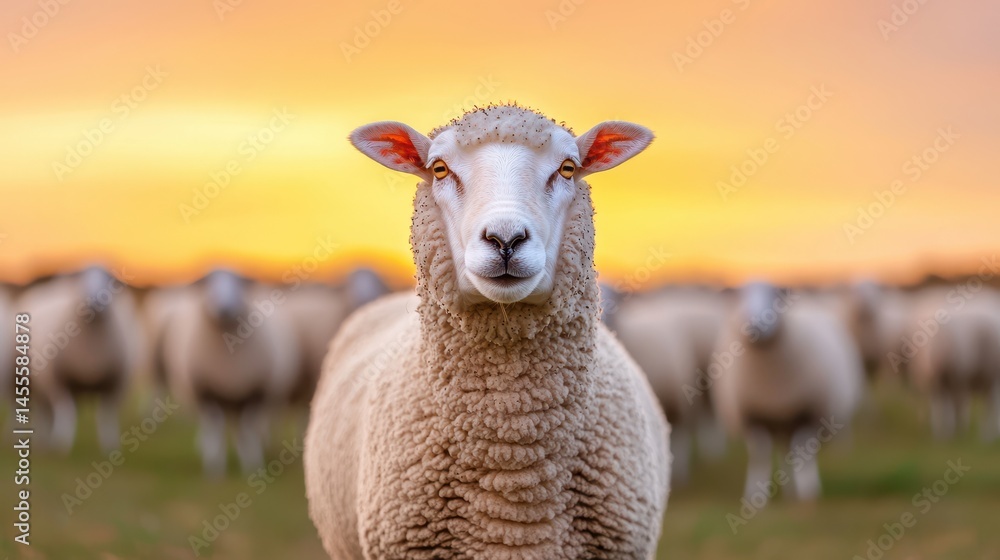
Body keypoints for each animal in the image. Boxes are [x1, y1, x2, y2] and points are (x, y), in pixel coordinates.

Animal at [16, 266, 143, 453]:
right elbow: (67, 412)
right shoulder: (58, 381)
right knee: (45, 411)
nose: (96, 299)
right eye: (83, 275)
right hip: (39, 382)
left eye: (108, 277)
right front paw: (62, 444)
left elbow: (105, 415)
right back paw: (42, 441)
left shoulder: (114, 383)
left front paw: (109, 445)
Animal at [158, 269, 300, 476]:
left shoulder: (256, 391)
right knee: (211, 427)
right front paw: (215, 467)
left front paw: (252, 464)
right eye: (208, 281)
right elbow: (216, 427)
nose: (224, 309)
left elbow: (248, 427)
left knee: (244, 427)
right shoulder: (205, 391)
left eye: (240, 281)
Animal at [713, 281, 863, 504]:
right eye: (740, 295)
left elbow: (801, 451)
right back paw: (788, 489)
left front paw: (808, 492)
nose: (755, 324)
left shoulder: (807, 412)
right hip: (780, 423)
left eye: (775, 294)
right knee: (784, 452)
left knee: (794, 451)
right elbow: (761, 454)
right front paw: (755, 494)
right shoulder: (752, 415)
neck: (771, 388)